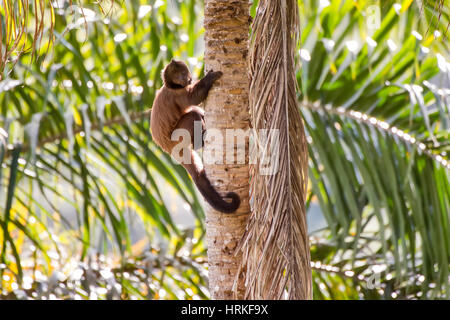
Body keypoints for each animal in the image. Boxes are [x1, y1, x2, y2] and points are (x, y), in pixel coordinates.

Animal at [149, 59, 241, 215]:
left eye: (183, 73)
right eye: (179, 76)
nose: (185, 79)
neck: (171, 86)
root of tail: (167, 148)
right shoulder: (177, 94)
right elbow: (194, 98)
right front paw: (210, 77)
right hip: (177, 138)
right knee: (193, 115)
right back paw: (199, 142)